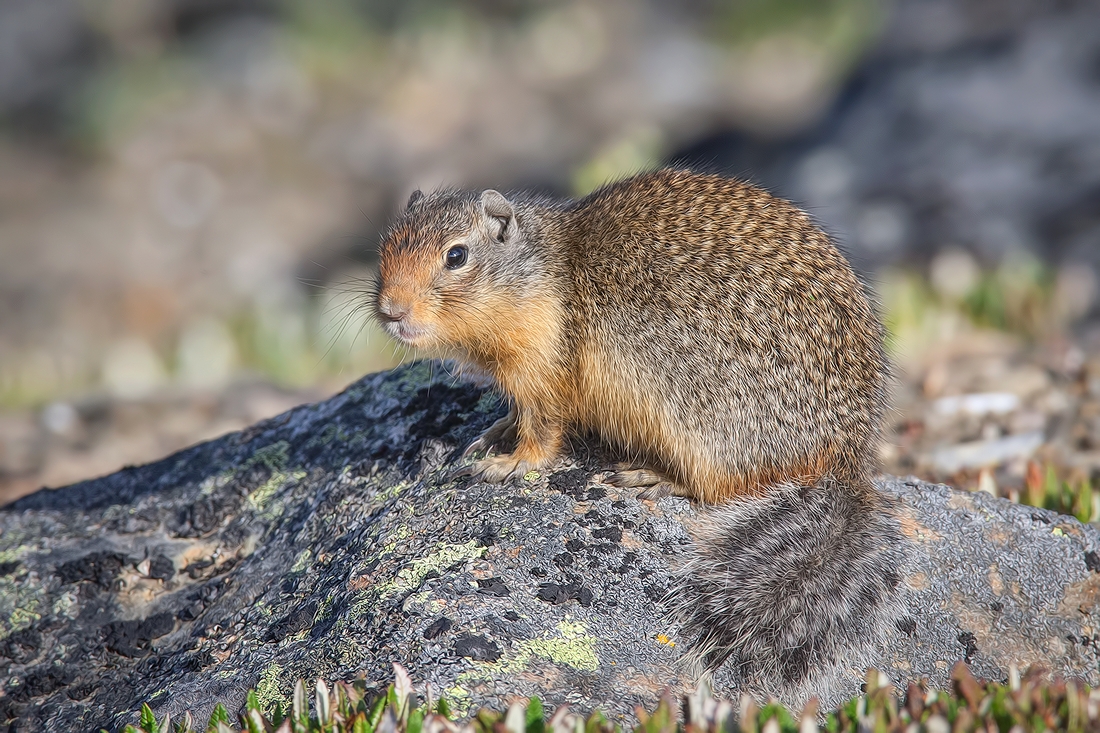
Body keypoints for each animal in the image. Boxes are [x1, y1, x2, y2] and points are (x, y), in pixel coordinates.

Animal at [374, 168, 906, 699]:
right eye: (386, 243)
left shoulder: (543, 366)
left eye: (456, 256)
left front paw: (507, 463)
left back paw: (654, 477)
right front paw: (494, 430)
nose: (390, 311)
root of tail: (848, 458)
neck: (541, 273)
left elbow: (543, 431)